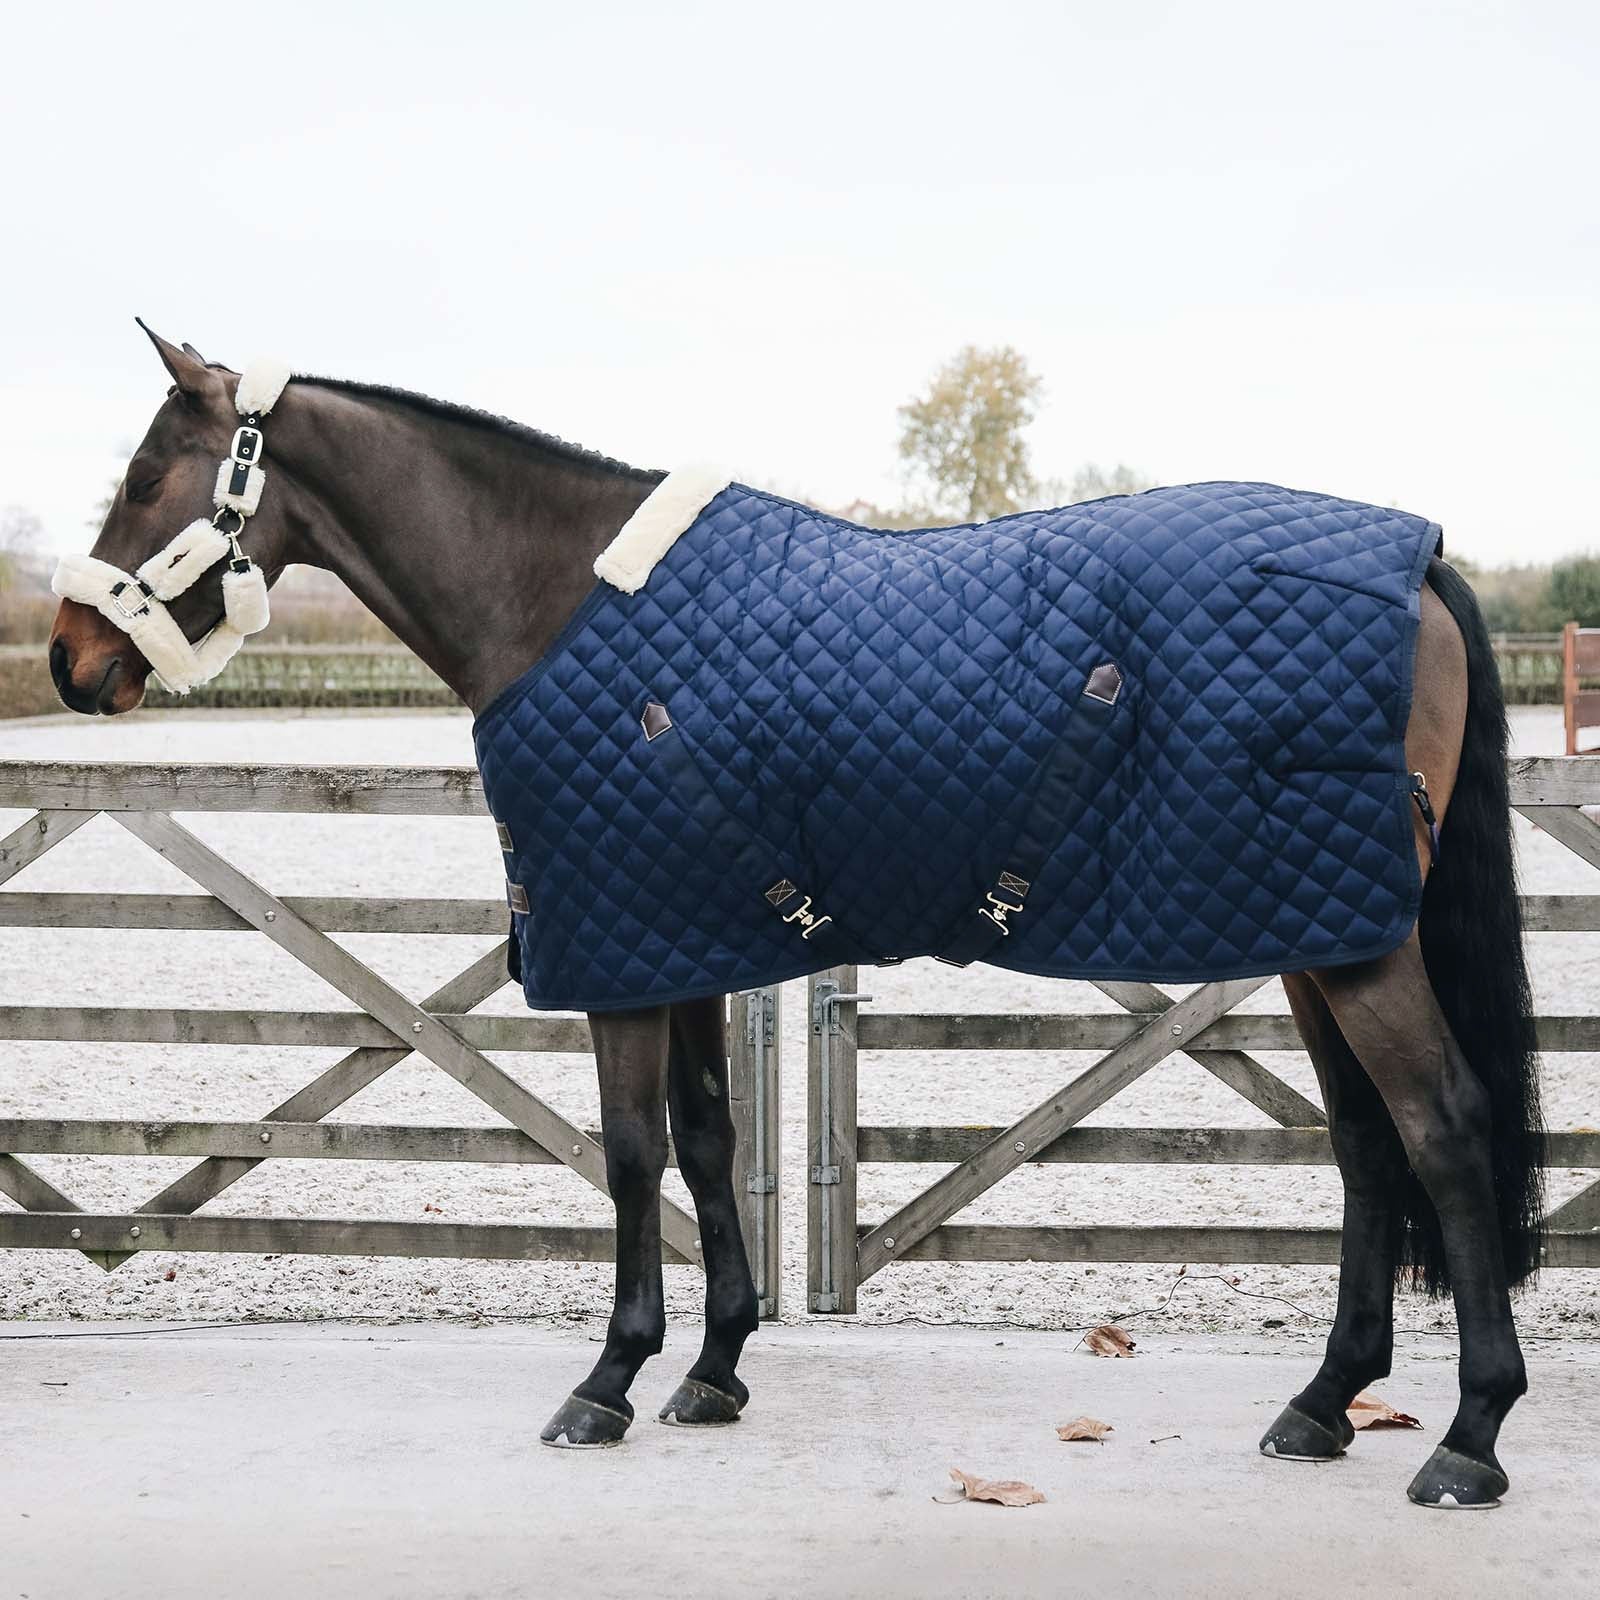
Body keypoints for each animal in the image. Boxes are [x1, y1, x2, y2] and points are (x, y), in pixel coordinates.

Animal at [46, 324, 1543, 1509]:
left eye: (146, 477)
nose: (69, 660)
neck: (558, 599)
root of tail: (1415, 563)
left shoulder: (621, 948)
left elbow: (634, 1153)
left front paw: (608, 1379)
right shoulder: (686, 939)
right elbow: (709, 1144)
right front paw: (713, 1368)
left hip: (1353, 942)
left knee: (1442, 1125)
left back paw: (1467, 1439)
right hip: (1316, 930)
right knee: (1364, 1145)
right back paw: (1321, 1406)